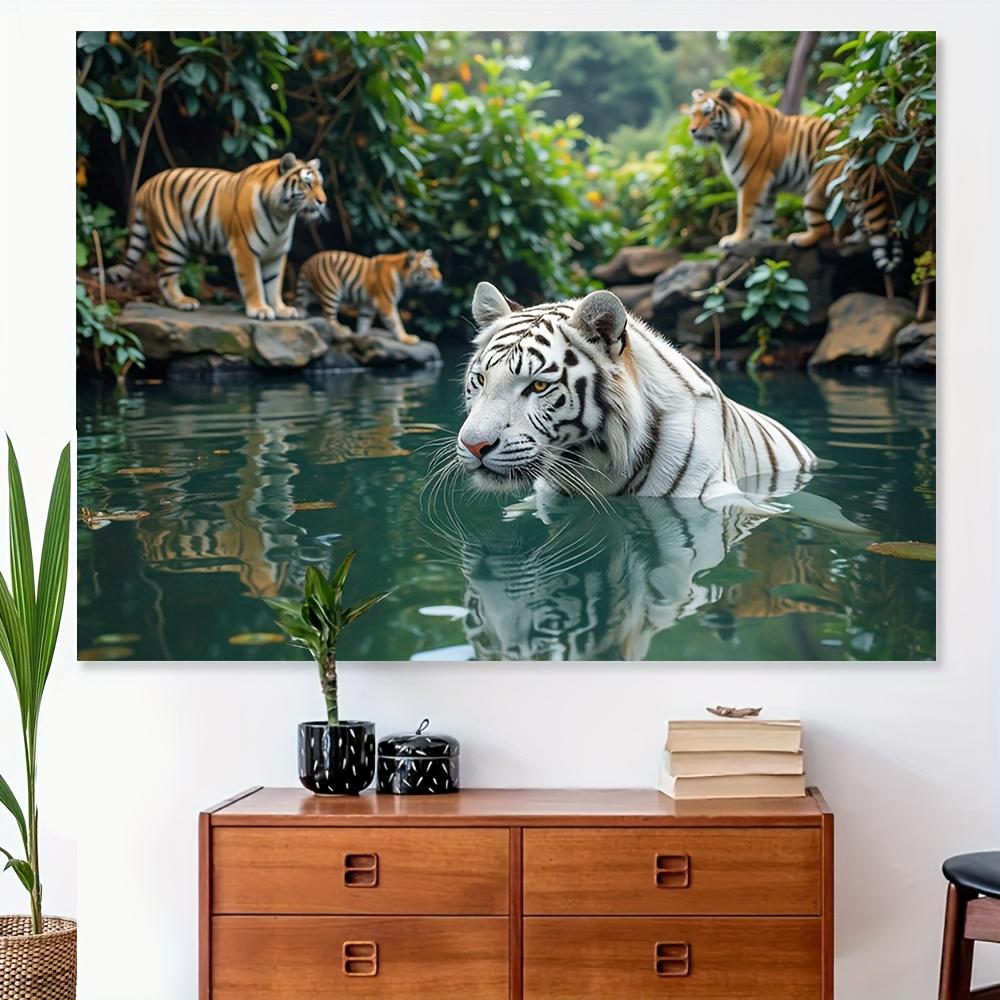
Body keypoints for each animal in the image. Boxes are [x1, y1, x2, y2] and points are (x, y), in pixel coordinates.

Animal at [107, 153, 327, 320]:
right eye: (307, 184)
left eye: (321, 184)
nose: (323, 201)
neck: (282, 215)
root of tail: (146, 184)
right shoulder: (245, 249)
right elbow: (254, 282)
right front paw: (260, 310)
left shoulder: (276, 253)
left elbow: (273, 284)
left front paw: (281, 309)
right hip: (171, 242)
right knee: (164, 277)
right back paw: (183, 302)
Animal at [295, 249, 442, 345]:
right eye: (429, 269)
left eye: (437, 267)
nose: (440, 279)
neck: (402, 274)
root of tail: (307, 263)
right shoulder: (386, 302)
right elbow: (395, 321)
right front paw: (406, 338)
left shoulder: (367, 305)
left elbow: (364, 321)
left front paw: (360, 337)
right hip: (331, 290)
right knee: (329, 317)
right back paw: (343, 330)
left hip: (311, 292)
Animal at [686, 86, 903, 272]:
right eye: (693, 114)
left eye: (706, 113)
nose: (692, 130)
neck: (727, 138)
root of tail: (865, 145)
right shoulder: (768, 187)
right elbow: (765, 216)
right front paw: (761, 240)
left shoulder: (753, 181)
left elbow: (745, 213)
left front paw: (735, 239)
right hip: (854, 190)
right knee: (865, 221)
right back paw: (854, 239)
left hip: (817, 188)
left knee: (824, 228)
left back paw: (799, 239)